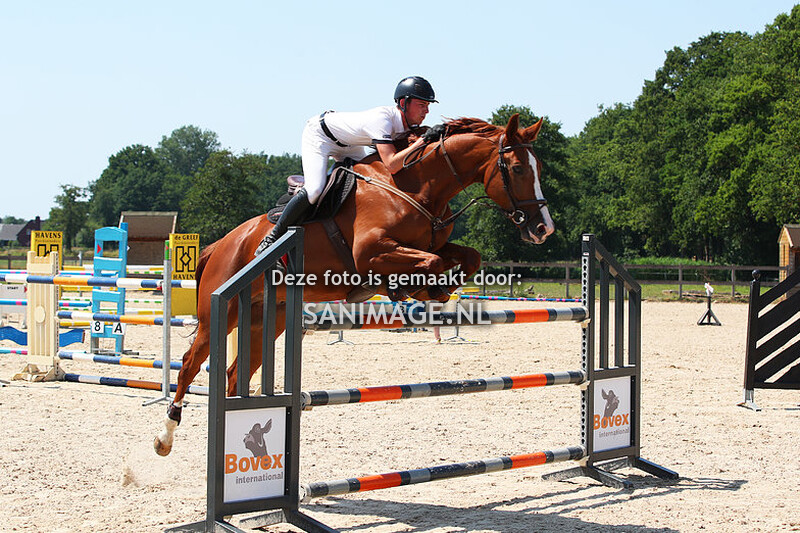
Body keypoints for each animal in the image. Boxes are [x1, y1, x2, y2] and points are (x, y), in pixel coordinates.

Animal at [154, 113, 554, 456]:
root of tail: (219, 245)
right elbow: (433, 262)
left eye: (538, 168)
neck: (417, 187)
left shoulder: (430, 243)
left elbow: (466, 257)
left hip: (267, 319)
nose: (543, 228)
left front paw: (432, 289)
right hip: (220, 316)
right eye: (517, 168)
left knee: (236, 374)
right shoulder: (372, 253)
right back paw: (165, 435)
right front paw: (415, 287)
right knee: (189, 365)